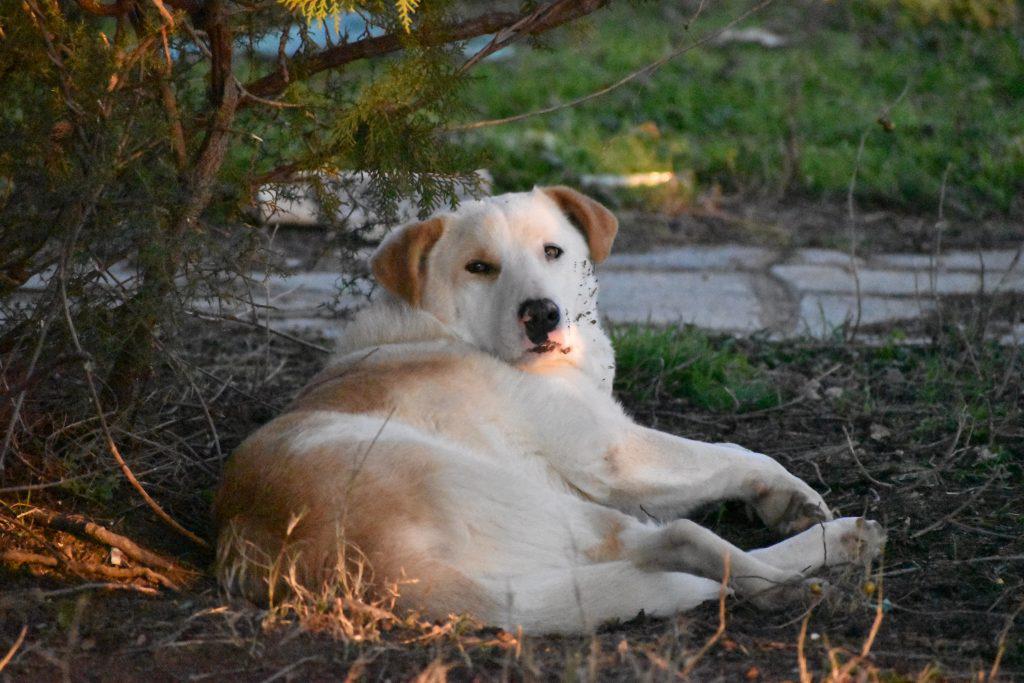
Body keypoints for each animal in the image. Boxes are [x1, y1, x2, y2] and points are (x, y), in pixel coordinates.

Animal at [214, 188, 880, 634]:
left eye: (553, 251)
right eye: (479, 267)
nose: (542, 314)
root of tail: (375, 571)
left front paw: (783, 505)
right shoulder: (615, 456)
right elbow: (738, 452)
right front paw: (790, 492)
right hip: (546, 504)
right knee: (680, 541)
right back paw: (805, 573)